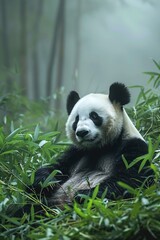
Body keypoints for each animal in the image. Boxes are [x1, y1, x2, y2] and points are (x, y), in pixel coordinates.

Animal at [21, 83, 152, 214]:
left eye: (94, 116)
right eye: (76, 119)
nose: (82, 132)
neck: (100, 147)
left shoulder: (133, 147)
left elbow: (129, 181)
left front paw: (83, 195)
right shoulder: (76, 152)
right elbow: (58, 168)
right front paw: (42, 180)